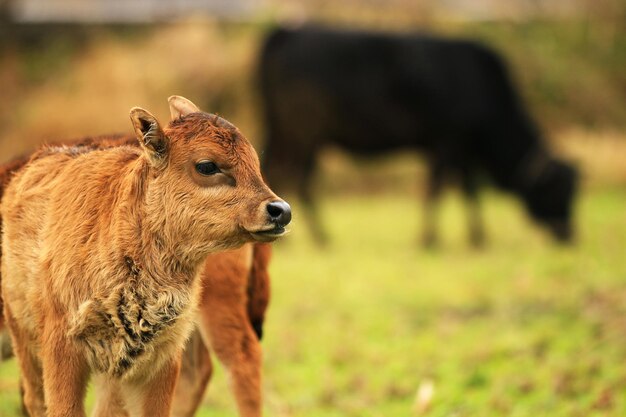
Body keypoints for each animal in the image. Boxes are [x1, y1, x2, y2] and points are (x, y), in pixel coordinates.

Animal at [258, 26, 576, 245]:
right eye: (559, 191)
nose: (570, 236)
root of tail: (286, 32)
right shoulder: (447, 142)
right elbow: (439, 188)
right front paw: (430, 240)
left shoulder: (459, 149)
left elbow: (468, 189)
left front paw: (477, 238)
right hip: (302, 133)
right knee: (297, 177)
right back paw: (321, 238)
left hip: (289, 133)